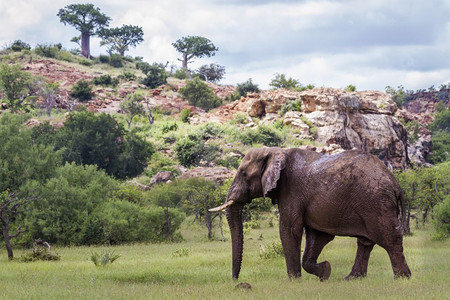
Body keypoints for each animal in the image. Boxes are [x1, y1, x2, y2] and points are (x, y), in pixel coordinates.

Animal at [210, 148, 412, 282]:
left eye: (244, 174)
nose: (235, 281)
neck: (277, 152)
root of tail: (396, 184)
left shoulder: (291, 192)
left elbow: (289, 230)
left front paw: (294, 281)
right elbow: (317, 237)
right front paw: (325, 272)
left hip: (376, 203)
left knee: (389, 239)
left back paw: (403, 278)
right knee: (365, 243)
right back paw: (351, 279)